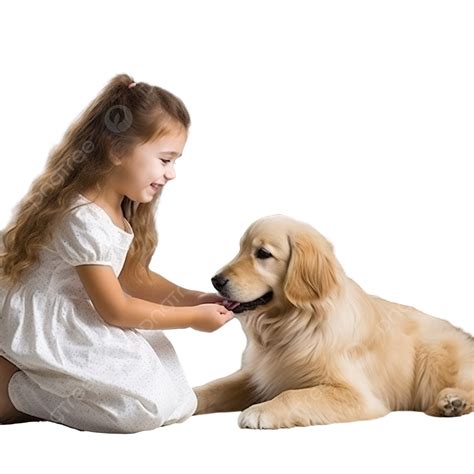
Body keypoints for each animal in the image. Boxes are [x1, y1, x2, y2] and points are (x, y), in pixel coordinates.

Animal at [193, 213, 474, 428]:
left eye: (262, 253)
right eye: (240, 248)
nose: (216, 280)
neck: (293, 324)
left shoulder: (357, 395)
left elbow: (293, 395)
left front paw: (260, 410)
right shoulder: (256, 374)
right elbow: (214, 387)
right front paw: (190, 398)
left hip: (433, 352)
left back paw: (452, 401)